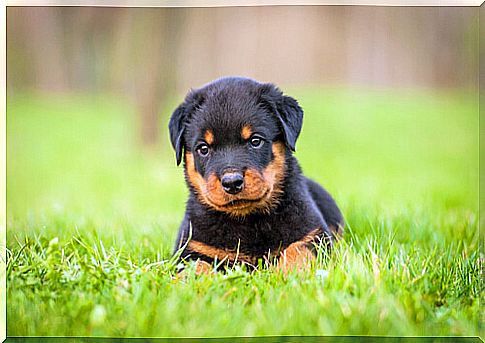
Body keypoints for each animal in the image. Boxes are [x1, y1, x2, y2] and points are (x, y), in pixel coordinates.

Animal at [168, 77, 342, 274]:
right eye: (203, 148)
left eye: (255, 141)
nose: (232, 182)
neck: (247, 220)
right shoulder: (192, 246)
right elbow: (195, 265)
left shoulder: (314, 234)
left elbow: (298, 250)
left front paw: (288, 272)